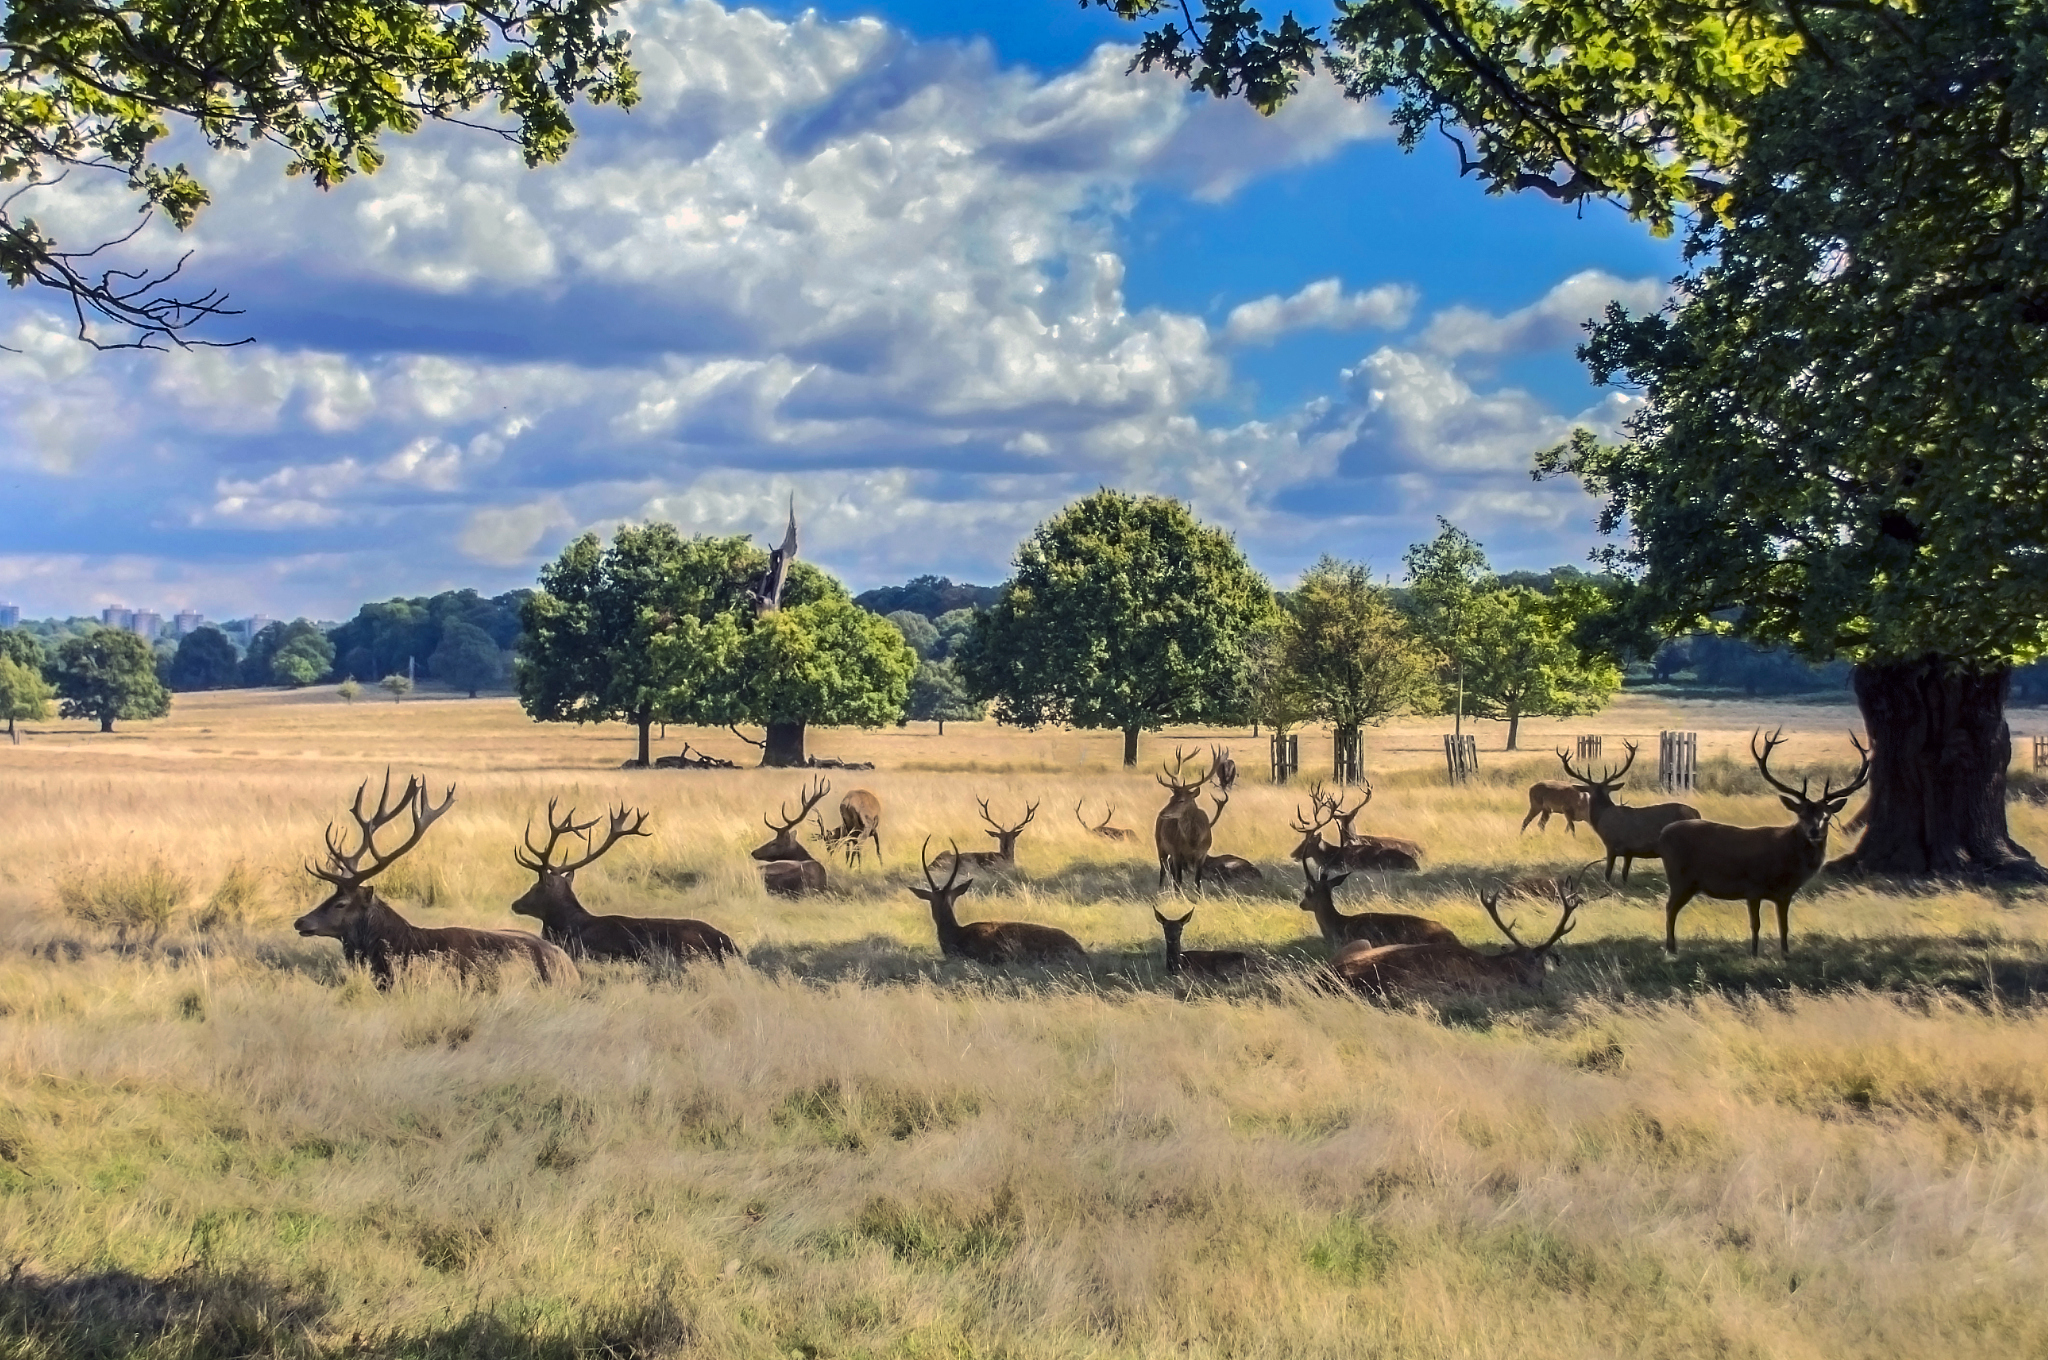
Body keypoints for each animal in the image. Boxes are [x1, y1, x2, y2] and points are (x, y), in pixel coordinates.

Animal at [1154, 747, 1217, 888]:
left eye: (1181, 800)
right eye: (1171, 798)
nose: (1162, 813)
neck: (1193, 840)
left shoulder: (1203, 854)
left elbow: (1197, 881)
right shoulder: (1177, 851)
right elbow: (1179, 879)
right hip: (1159, 844)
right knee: (1163, 870)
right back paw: (1160, 889)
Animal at [1557, 740, 1700, 884]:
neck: (1602, 817)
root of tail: (1697, 814)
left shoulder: (1611, 845)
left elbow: (1607, 874)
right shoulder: (1629, 852)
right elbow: (1624, 875)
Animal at [1657, 729, 1871, 957]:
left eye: (1827, 816)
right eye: (1801, 815)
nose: (1814, 831)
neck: (1785, 864)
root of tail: (1663, 834)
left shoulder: (1784, 894)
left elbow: (1784, 925)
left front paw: (1785, 953)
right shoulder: (1753, 887)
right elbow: (1755, 924)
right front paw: (1753, 953)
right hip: (1680, 877)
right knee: (1669, 907)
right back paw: (1671, 949)